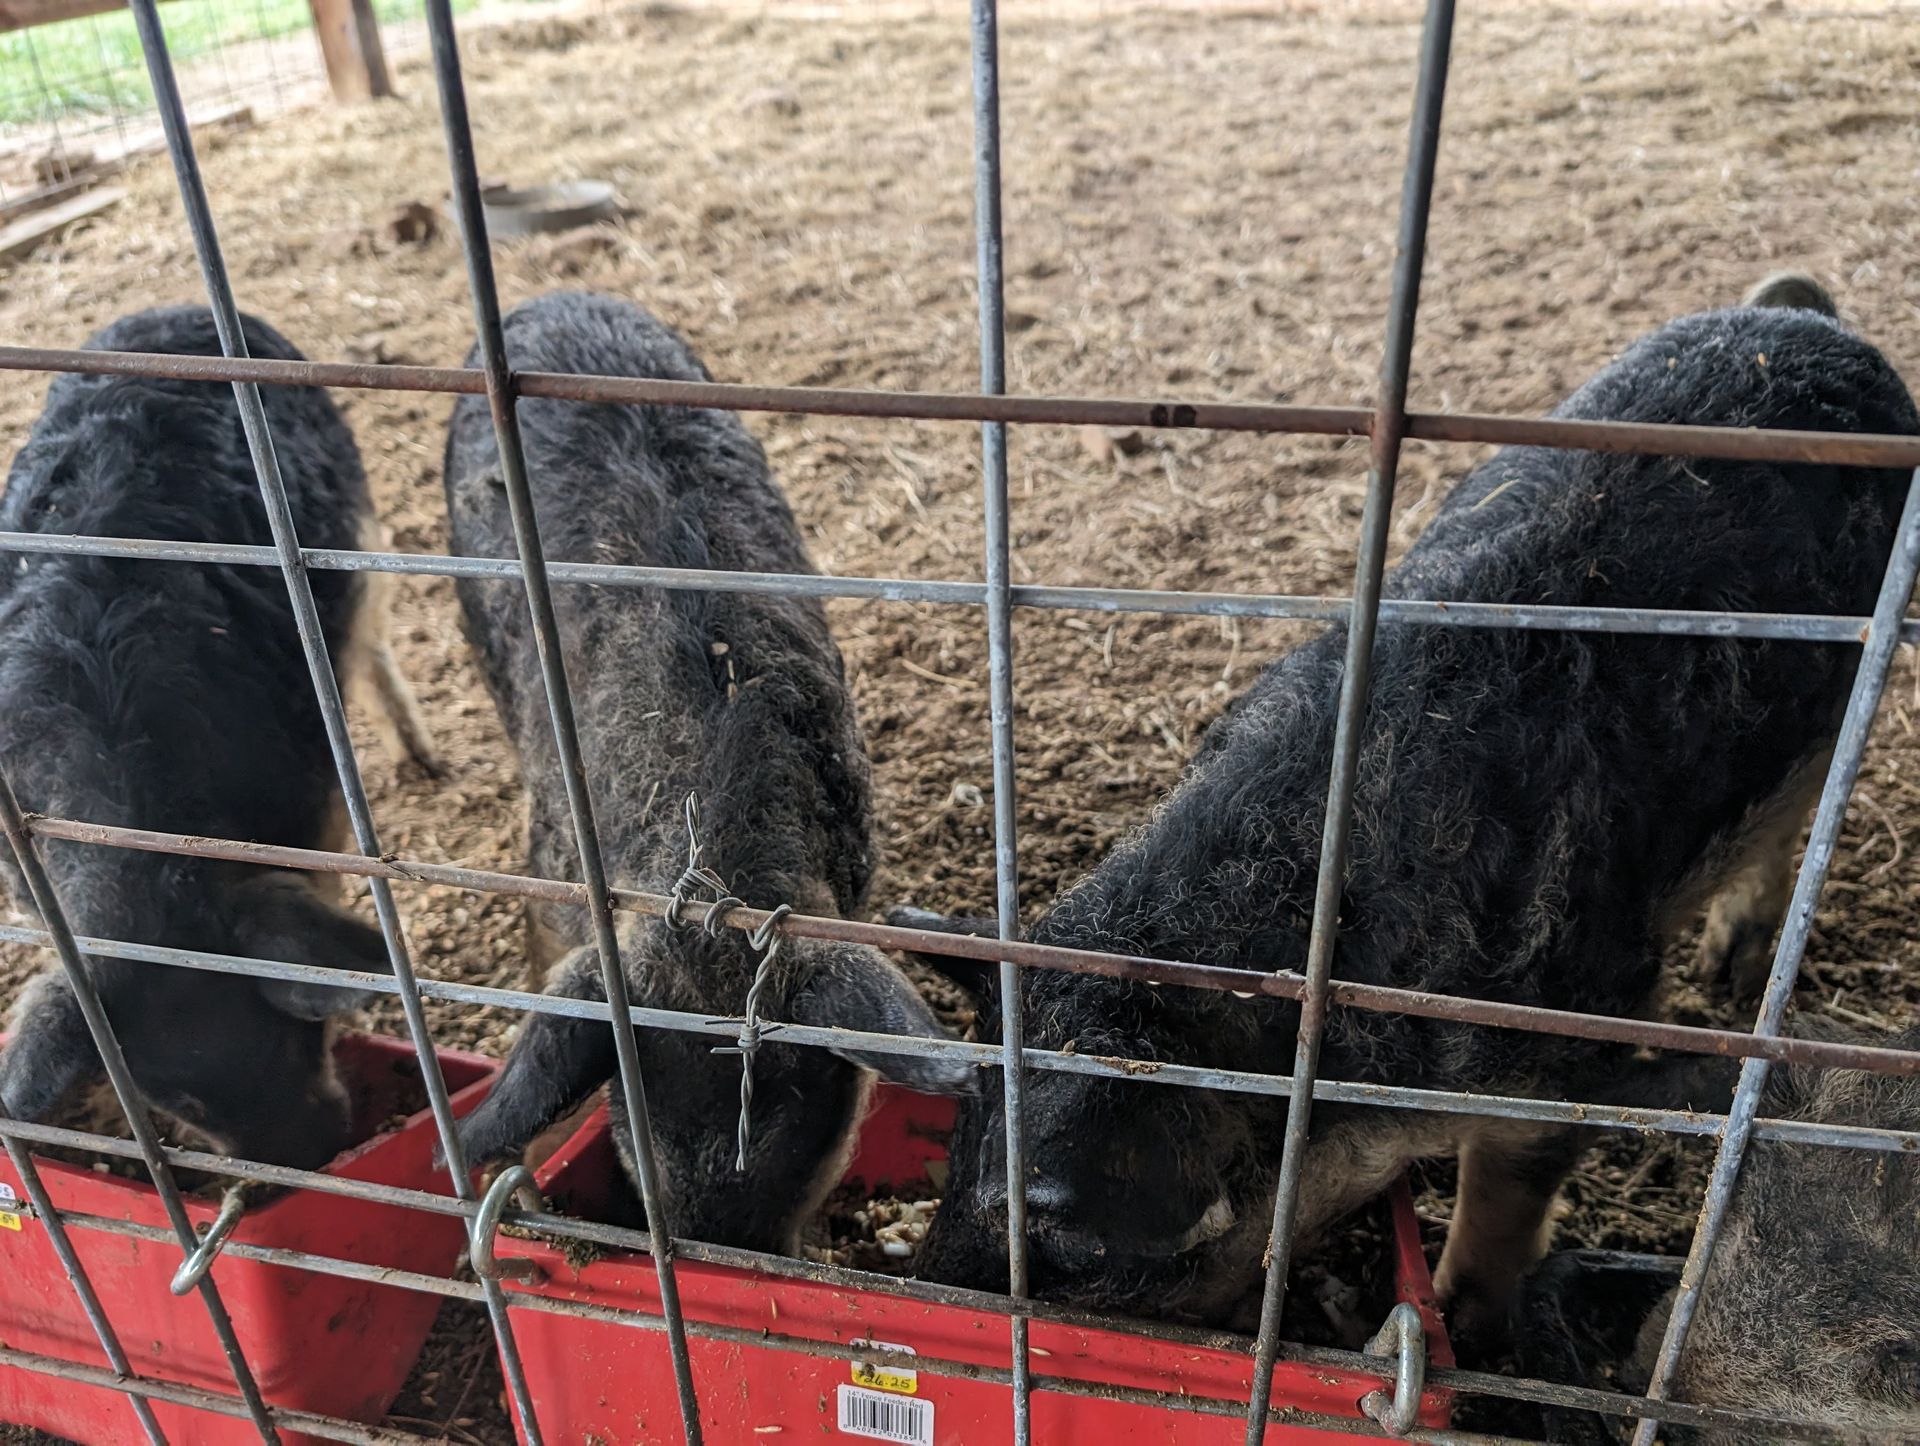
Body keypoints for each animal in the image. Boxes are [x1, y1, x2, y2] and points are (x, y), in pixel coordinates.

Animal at [0, 303, 441, 1170]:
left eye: (292, 1037)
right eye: (173, 1099)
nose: (310, 1156)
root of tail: (172, 309)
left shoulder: (305, 803)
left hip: (351, 540)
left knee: (370, 645)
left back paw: (426, 761)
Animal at [894, 273, 1920, 1341]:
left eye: (1069, 1247)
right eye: (959, 1141)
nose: (922, 1286)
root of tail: (1805, 319)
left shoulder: (1584, 1030)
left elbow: (1510, 1187)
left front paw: (1466, 1322)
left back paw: (1731, 974)